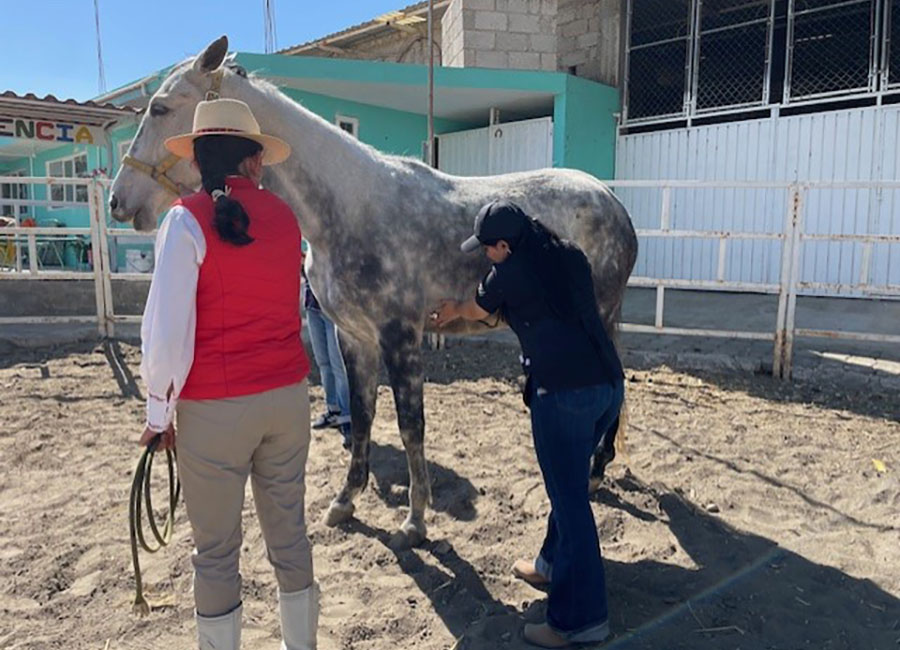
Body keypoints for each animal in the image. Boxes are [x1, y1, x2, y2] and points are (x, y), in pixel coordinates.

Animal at [109, 34, 636, 540]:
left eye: (160, 108)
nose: (118, 200)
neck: (348, 211)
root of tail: (611, 200)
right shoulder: (354, 337)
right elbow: (361, 416)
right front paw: (346, 501)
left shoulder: (399, 336)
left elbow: (410, 424)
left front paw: (416, 520)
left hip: (599, 315)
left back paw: (592, 472)